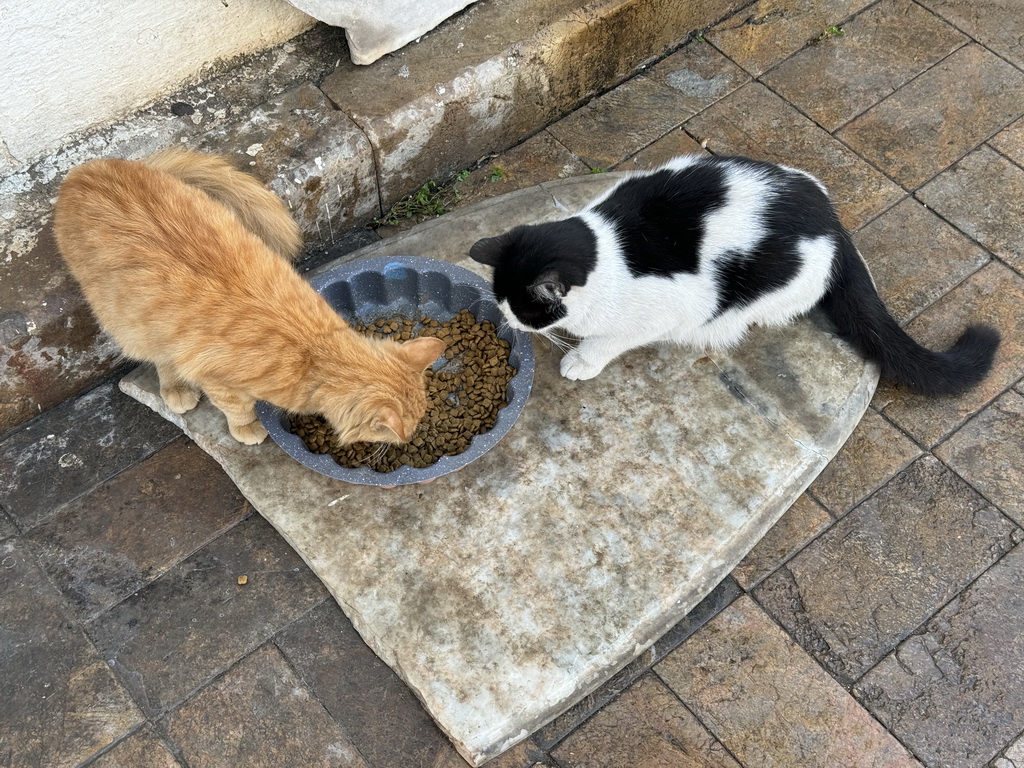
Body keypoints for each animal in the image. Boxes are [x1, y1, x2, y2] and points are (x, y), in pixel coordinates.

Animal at [52, 148, 444, 444]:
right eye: (403, 432)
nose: (410, 440)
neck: (313, 352)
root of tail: (84, 170)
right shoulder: (217, 379)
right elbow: (237, 407)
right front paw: (247, 428)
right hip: (131, 324)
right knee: (160, 358)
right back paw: (175, 389)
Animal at [471, 155, 999, 397]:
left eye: (524, 309)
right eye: (502, 304)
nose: (508, 322)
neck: (604, 247)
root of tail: (833, 223)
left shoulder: (665, 308)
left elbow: (610, 339)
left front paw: (582, 358)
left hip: (779, 283)